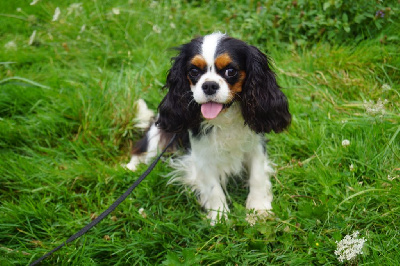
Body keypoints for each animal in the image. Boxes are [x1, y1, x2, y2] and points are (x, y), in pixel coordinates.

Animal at [127, 32, 290, 224]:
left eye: (230, 71)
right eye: (194, 71)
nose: (209, 85)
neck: (224, 118)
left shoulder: (255, 145)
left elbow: (257, 175)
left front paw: (258, 209)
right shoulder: (201, 157)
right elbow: (213, 188)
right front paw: (219, 217)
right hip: (159, 134)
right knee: (145, 149)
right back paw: (130, 167)